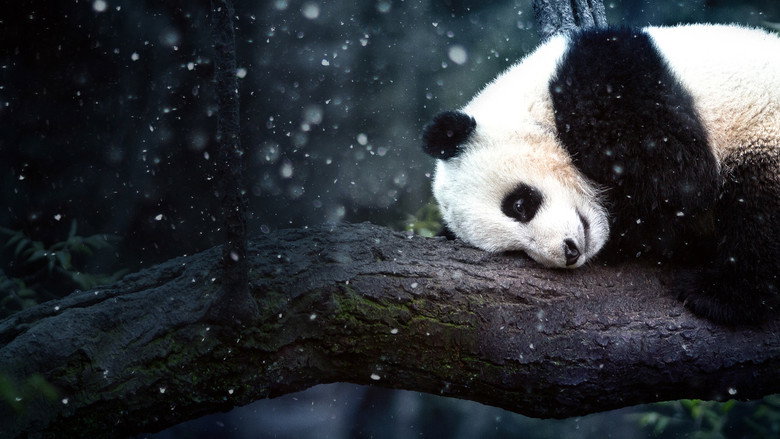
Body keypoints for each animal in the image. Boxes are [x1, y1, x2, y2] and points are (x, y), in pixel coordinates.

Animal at [422, 24, 780, 324]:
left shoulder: (611, 77)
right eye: (513, 252)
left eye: (519, 205)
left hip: (762, 133)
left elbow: (681, 177)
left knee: (759, 212)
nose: (568, 253)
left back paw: (718, 296)